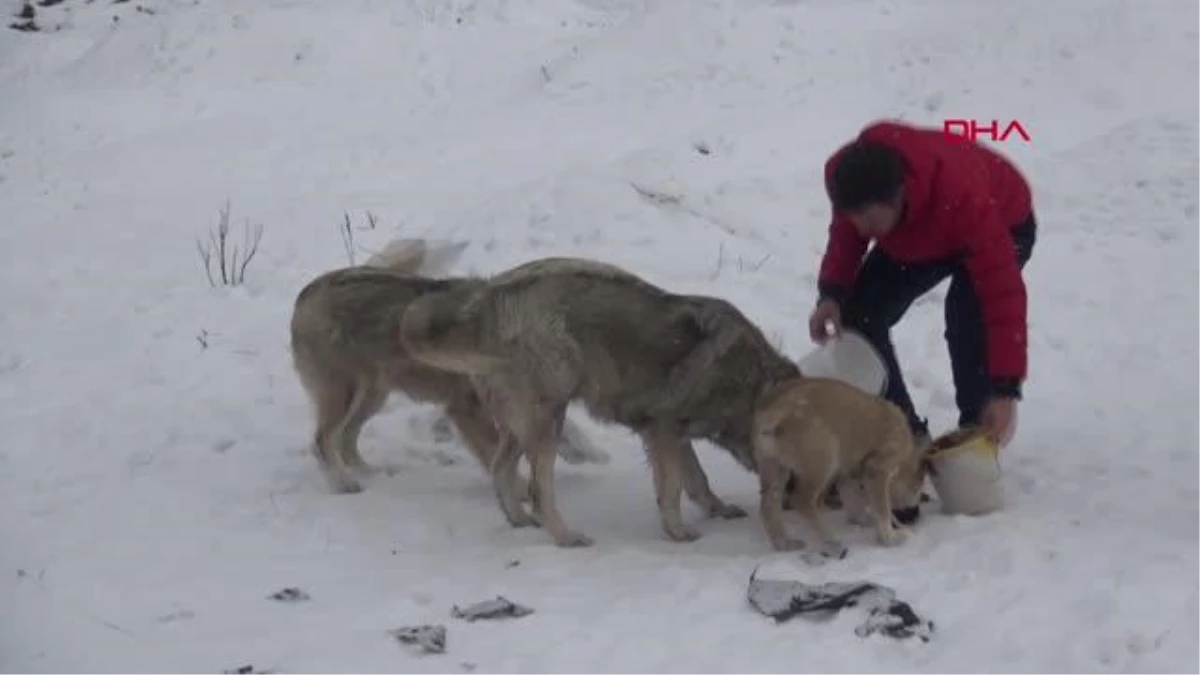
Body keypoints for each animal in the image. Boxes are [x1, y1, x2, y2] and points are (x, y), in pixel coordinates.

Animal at [290, 239, 609, 492]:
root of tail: (307, 292)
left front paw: (591, 453)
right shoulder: (465, 408)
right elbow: (493, 454)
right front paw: (518, 489)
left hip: (373, 394)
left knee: (346, 437)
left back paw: (372, 473)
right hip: (345, 391)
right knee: (323, 440)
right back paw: (343, 482)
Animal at [748, 374, 926, 550]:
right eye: (917, 489)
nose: (913, 511)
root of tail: (773, 413)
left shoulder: (847, 472)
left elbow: (851, 497)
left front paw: (862, 519)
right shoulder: (878, 469)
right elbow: (882, 509)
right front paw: (889, 538)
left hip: (773, 466)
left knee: (768, 505)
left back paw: (784, 542)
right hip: (822, 461)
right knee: (801, 501)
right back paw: (830, 540)